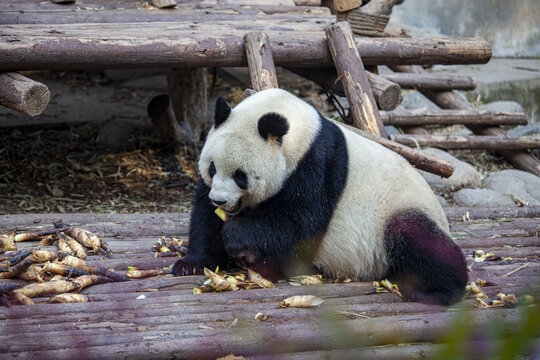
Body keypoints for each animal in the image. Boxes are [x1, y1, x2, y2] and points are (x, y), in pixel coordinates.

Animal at [174, 87, 468, 304]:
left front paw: (237, 235)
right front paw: (193, 263)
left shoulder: (317, 166)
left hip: (400, 208)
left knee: (419, 239)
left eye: (240, 175)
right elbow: (205, 218)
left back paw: (436, 291)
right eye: (212, 168)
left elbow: (301, 221)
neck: (300, 130)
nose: (220, 201)